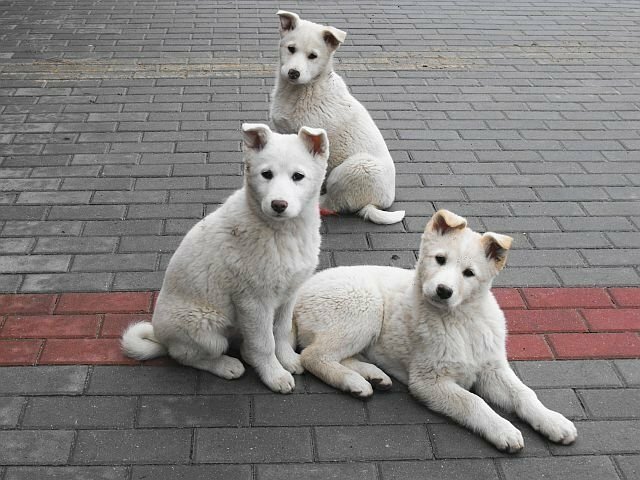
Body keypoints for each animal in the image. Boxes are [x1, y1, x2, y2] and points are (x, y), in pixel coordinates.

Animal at [121, 121, 330, 394]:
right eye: (266, 174)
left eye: (298, 177)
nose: (278, 205)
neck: (283, 232)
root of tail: (160, 337)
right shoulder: (253, 301)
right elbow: (265, 343)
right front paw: (274, 375)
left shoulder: (289, 294)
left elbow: (282, 331)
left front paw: (287, 359)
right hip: (206, 328)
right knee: (185, 355)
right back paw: (227, 365)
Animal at [270, 10, 404, 225]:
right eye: (291, 49)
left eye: (313, 56)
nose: (293, 73)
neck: (302, 90)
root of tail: (377, 203)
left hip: (352, 169)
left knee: (334, 203)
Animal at [292, 209, 576, 450]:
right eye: (440, 259)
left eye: (469, 273)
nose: (443, 291)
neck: (462, 321)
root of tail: (299, 293)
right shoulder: (429, 381)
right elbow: (473, 401)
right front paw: (502, 429)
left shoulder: (491, 369)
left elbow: (524, 393)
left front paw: (552, 420)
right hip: (365, 305)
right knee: (312, 356)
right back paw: (352, 381)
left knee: (335, 354)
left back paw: (372, 376)